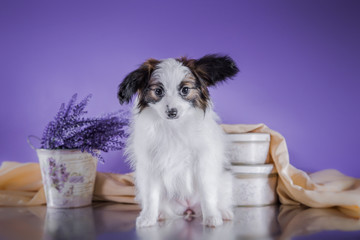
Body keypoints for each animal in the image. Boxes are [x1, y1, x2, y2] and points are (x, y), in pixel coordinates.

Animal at [117, 53, 239, 228]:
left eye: (185, 90)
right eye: (158, 91)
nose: (172, 112)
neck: (173, 126)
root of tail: (188, 208)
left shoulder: (203, 162)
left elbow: (207, 193)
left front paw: (212, 217)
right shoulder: (151, 166)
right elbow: (151, 196)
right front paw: (148, 217)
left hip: (225, 181)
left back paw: (223, 212)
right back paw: (160, 214)